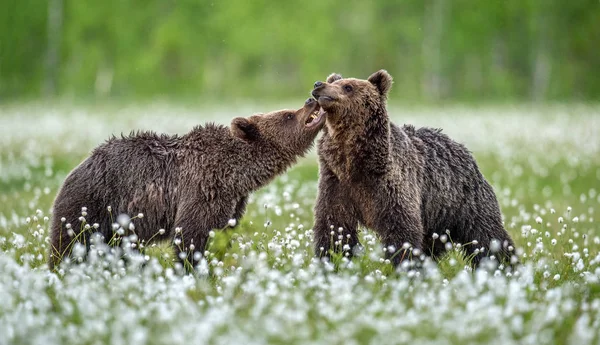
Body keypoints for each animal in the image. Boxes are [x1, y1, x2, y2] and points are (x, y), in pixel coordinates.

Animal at [49, 97, 326, 268]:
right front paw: (193, 270)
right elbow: (191, 235)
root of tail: (77, 168)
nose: (310, 100)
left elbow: (220, 233)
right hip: (93, 203)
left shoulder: (232, 202)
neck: (237, 173)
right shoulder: (203, 187)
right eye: (288, 115)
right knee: (70, 243)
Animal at [310, 70, 516, 266]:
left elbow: (402, 228)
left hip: (465, 201)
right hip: (436, 217)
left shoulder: (391, 184)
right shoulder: (337, 183)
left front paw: (404, 264)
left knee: (486, 235)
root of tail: (463, 149)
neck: (354, 163)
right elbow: (334, 226)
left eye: (348, 87)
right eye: (334, 81)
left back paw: (506, 264)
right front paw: (330, 259)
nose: (318, 84)